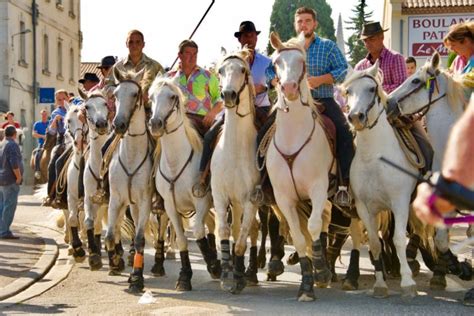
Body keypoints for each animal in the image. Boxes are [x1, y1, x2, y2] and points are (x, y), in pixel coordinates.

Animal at [149, 76, 221, 292]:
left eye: (172, 96)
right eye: (151, 97)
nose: (155, 123)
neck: (177, 161)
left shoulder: (201, 201)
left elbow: (198, 233)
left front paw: (214, 266)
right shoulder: (170, 205)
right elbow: (181, 239)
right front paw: (184, 277)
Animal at [266, 32, 334, 302]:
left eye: (302, 62)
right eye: (276, 63)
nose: (289, 88)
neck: (293, 136)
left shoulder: (318, 188)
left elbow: (314, 227)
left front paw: (321, 270)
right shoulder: (284, 198)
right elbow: (297, 236)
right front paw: (306, 285)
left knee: (323, 221)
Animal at [342, 61, 416, 298]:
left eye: (372, 89)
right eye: (348, 91)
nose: (355, 117)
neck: (374, 157)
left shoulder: (400, 202)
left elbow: (399, 239)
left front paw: (408, 283)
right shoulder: (364, 208)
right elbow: (375, 244)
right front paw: (380, 285)